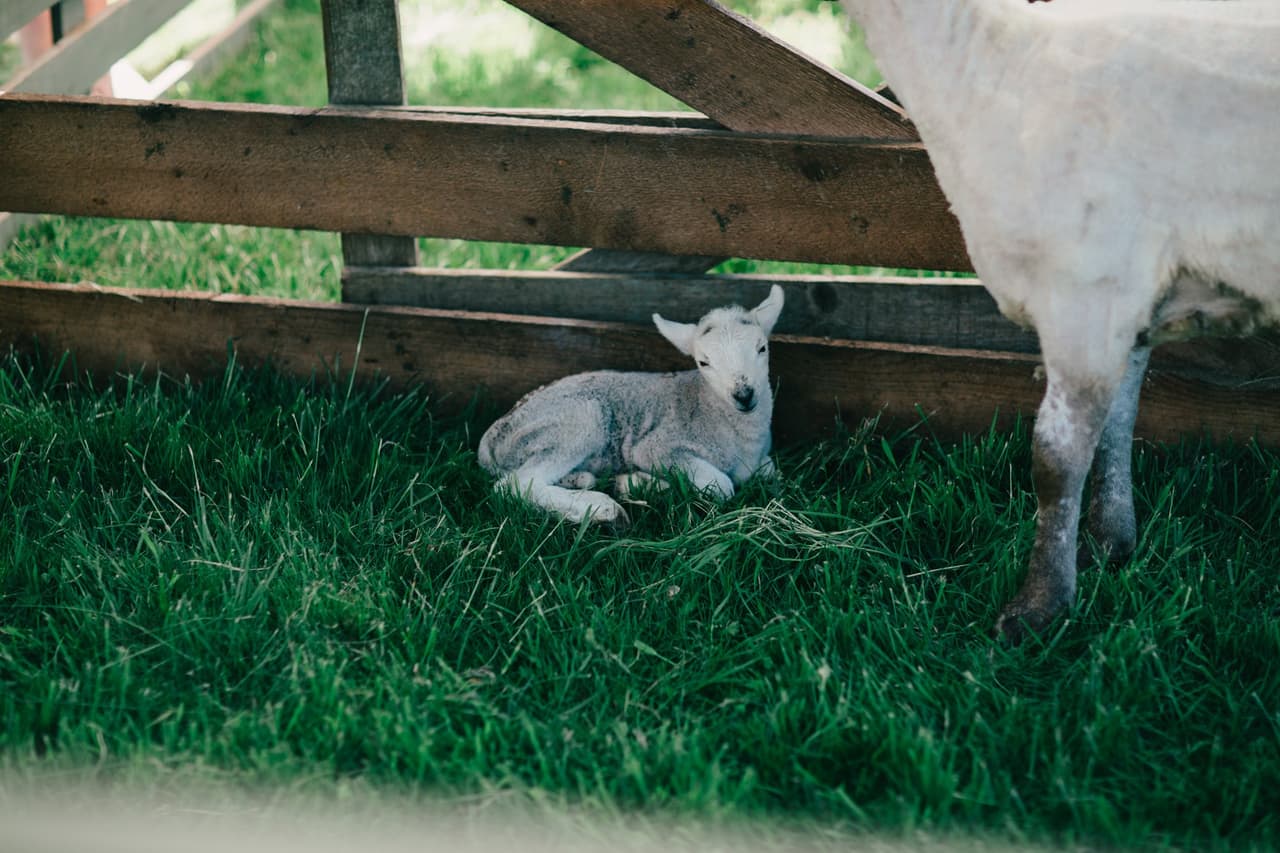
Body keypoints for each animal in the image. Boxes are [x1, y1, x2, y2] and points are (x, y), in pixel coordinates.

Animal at [478, 286, 784, 528]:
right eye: (703, 362)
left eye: (762, 348)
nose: (743, 394)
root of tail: (489, 442)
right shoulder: (656, 447)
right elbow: (722, 486)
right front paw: (641, 484)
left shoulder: (760, 460)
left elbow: (770, 471)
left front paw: (635, 483)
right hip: (574, 424)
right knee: (514, 485)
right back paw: (604, 510)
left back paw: (587, 481)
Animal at [838, 0, 1280, 640]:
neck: (990, 61)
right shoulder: (1125, 295)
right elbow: (1118, 422)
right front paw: (1111, 543)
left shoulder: (1086, 288)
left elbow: (1056, 459)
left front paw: (1039, 606)